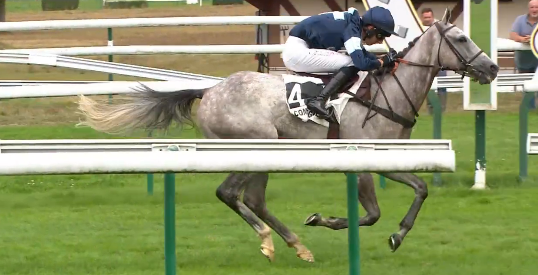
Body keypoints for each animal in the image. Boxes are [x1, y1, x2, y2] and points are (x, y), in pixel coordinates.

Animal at [74, 11, 494, 264]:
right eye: (460, 38)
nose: (490, 68)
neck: (387, 91)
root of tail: (209, 91)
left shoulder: (391, 159)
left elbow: (420, 188)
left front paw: (399, 234)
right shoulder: (362, 162)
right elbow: (372, 214)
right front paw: (327, 219)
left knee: (254, 200)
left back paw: (296, 245)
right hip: (254, 144)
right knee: (230, 193)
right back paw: (269, 239)